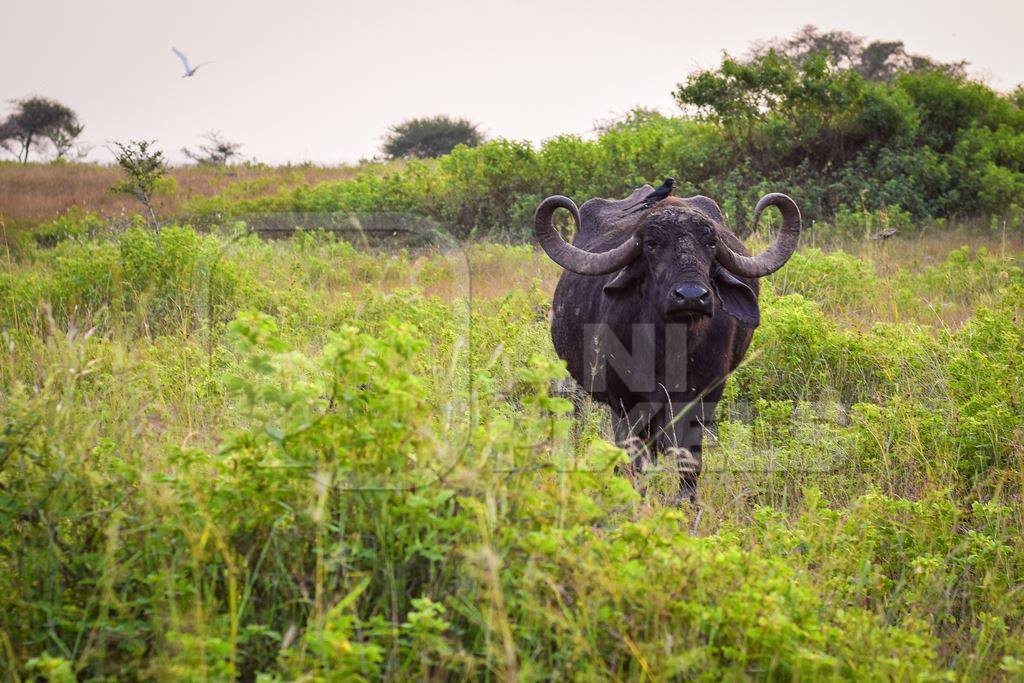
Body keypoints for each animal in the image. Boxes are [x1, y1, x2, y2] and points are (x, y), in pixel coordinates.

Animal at [536, 187, 798, 501]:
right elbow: (634, 460)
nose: (691, 296)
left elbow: (689, 460)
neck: (671, 350)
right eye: (652, 244)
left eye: (711, 243)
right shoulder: (624, 402)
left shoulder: (706, 395)